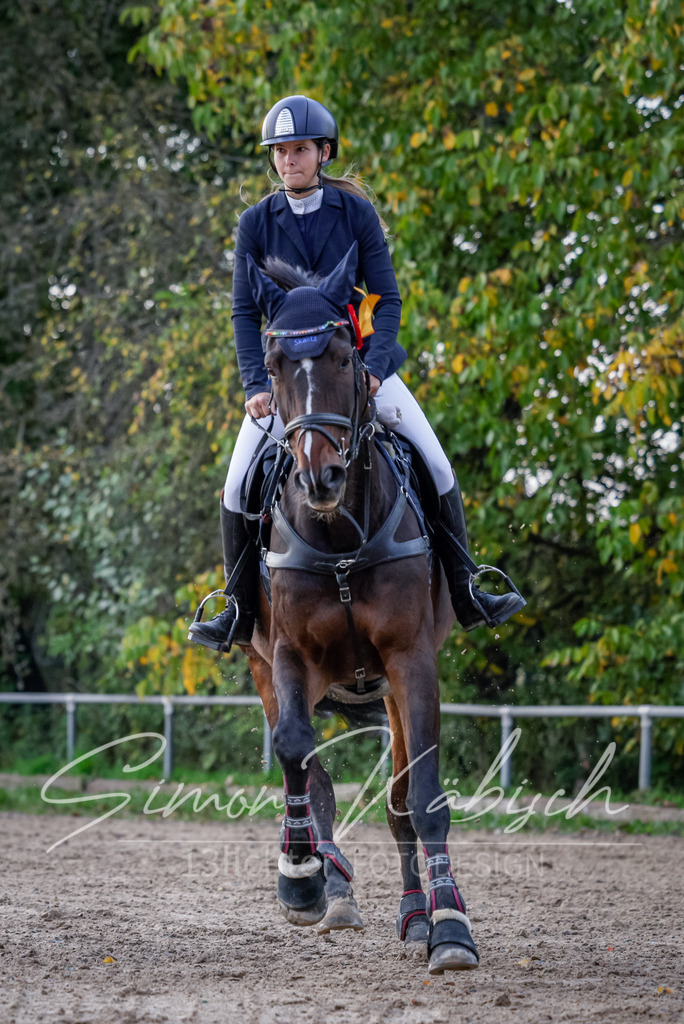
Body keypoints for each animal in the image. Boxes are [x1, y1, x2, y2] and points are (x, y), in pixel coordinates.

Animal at [236, 242, 479, 974]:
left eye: (346, 356)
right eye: (275, 364)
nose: (322, 477)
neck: (339, 535)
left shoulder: (410, 660)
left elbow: (422, 797)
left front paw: (450, 927)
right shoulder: (288, 657)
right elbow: (295, 753)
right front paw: (299, 880)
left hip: (389, 685)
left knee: (399, 803)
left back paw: (418, 916)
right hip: (269, 669)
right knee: (310, 772)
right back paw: (331, 889)